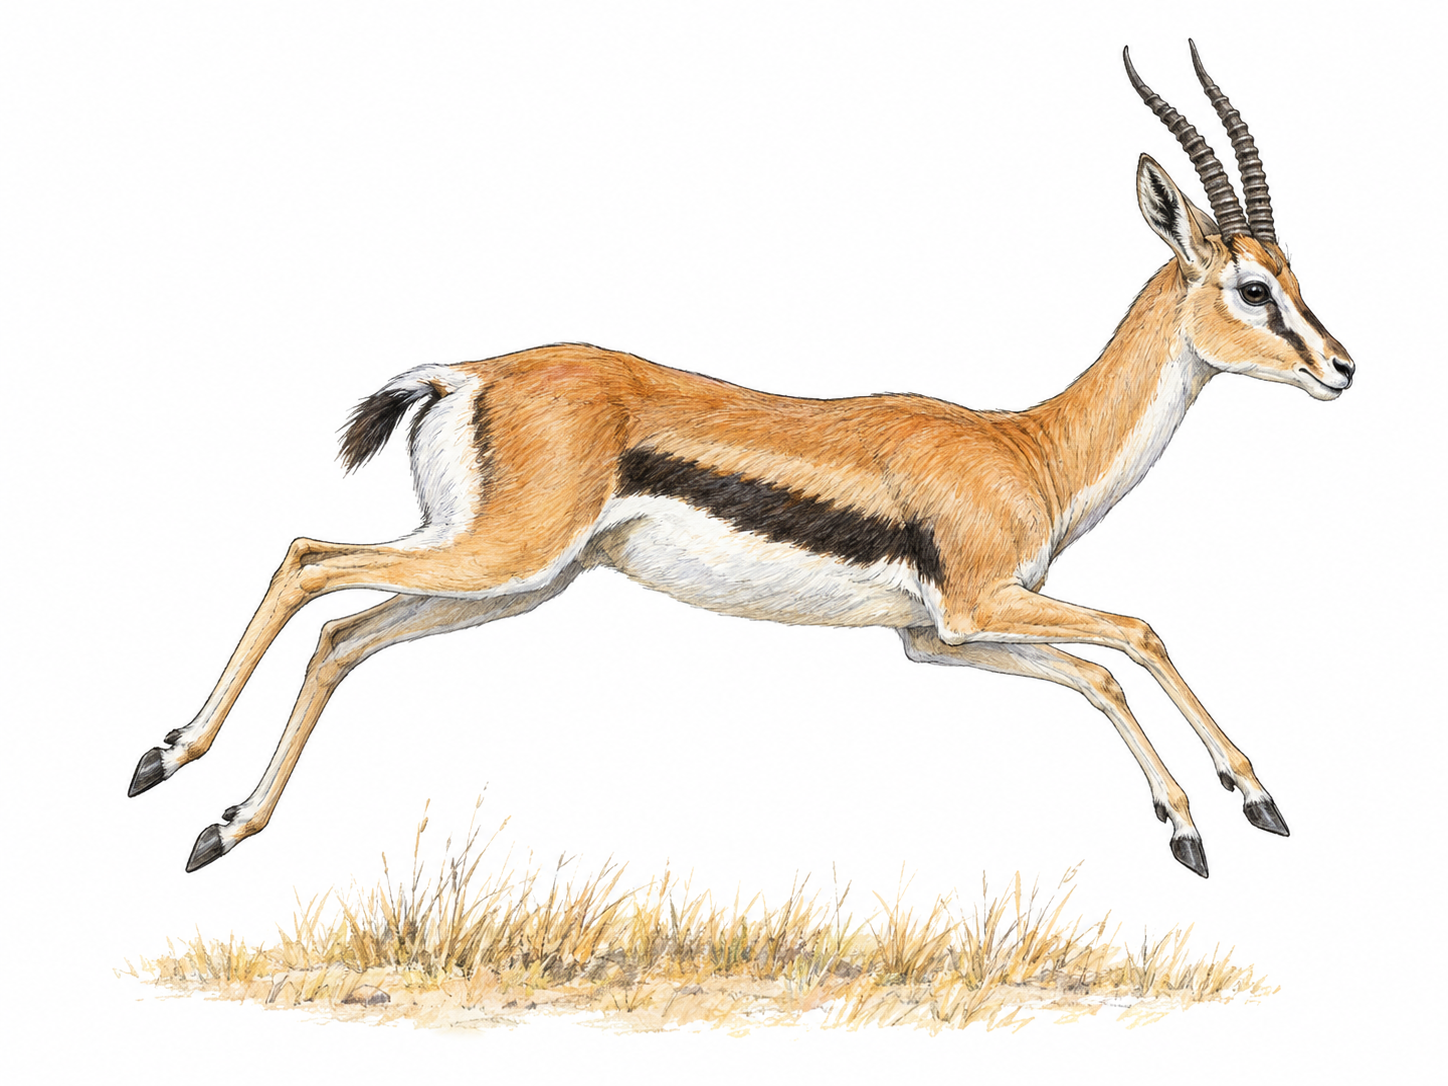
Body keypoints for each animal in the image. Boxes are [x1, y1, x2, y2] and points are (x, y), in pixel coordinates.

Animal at [130, 43, 1353, 877]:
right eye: (1253, 288)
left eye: (1293, 277)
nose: (1342, 367)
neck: (1028, 447)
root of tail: (462, 374)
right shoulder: (981, 601)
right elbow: (1137, 635)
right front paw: (1243, 805)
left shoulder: (940, 637)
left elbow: (1096, 673)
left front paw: (1197, 824)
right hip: (495, 558)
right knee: (310, 559)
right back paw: (168, 759)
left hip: (507, 579)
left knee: (342, 635)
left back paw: (219, 822)